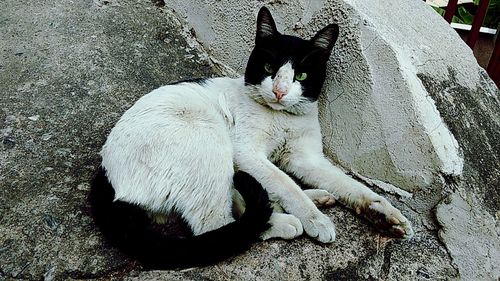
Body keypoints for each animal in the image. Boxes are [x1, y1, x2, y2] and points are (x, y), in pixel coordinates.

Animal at [89, 6, 414, 270]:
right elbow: (286, 184)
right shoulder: (247, 154)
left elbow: (349, 185)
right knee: (216, 225)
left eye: (301, 76)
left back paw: (313, 198)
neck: (283, 117)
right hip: (209, 138)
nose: (280, 91)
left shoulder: (306, 158)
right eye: (269, 68)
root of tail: (106, 175)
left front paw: (385, 214)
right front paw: (316, 221)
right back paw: (286, 221)